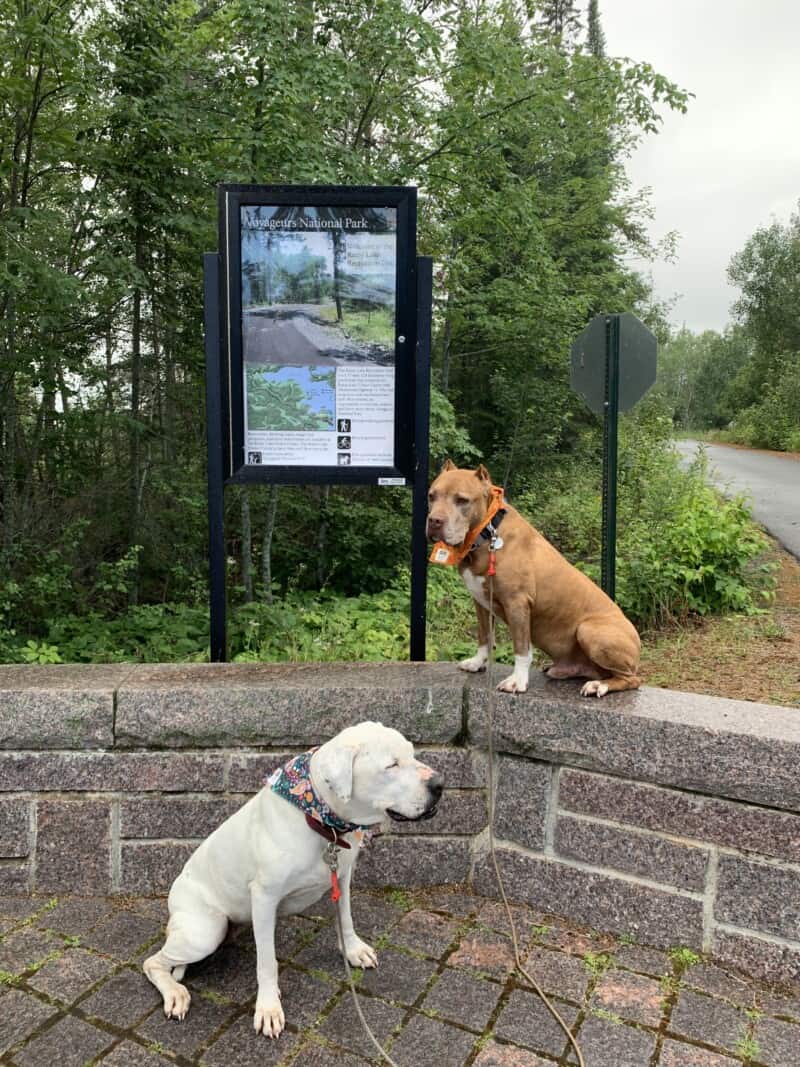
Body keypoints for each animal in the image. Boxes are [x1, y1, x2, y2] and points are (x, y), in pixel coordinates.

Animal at [144, 721, 445, 1037]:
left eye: (412, 753)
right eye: (391, 765)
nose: (440, 784)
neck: (320, 817)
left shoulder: (343, 875)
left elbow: (346, 918)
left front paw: (353, 950)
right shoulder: (264, 897)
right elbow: (266, 962)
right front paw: (268, 1007)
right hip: (204, 932)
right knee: (152, 962)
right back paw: (175, 994)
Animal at [426, 460, 644, 695]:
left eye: (462, 500)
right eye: (431, 496)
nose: (434, 521)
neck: (487, 534)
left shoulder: (517, 603)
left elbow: (521, 648)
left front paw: (517, 681)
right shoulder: (481, 602)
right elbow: (484, 636)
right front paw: (477, 663)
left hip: (589, 630)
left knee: (631, 679)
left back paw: (599, 685)